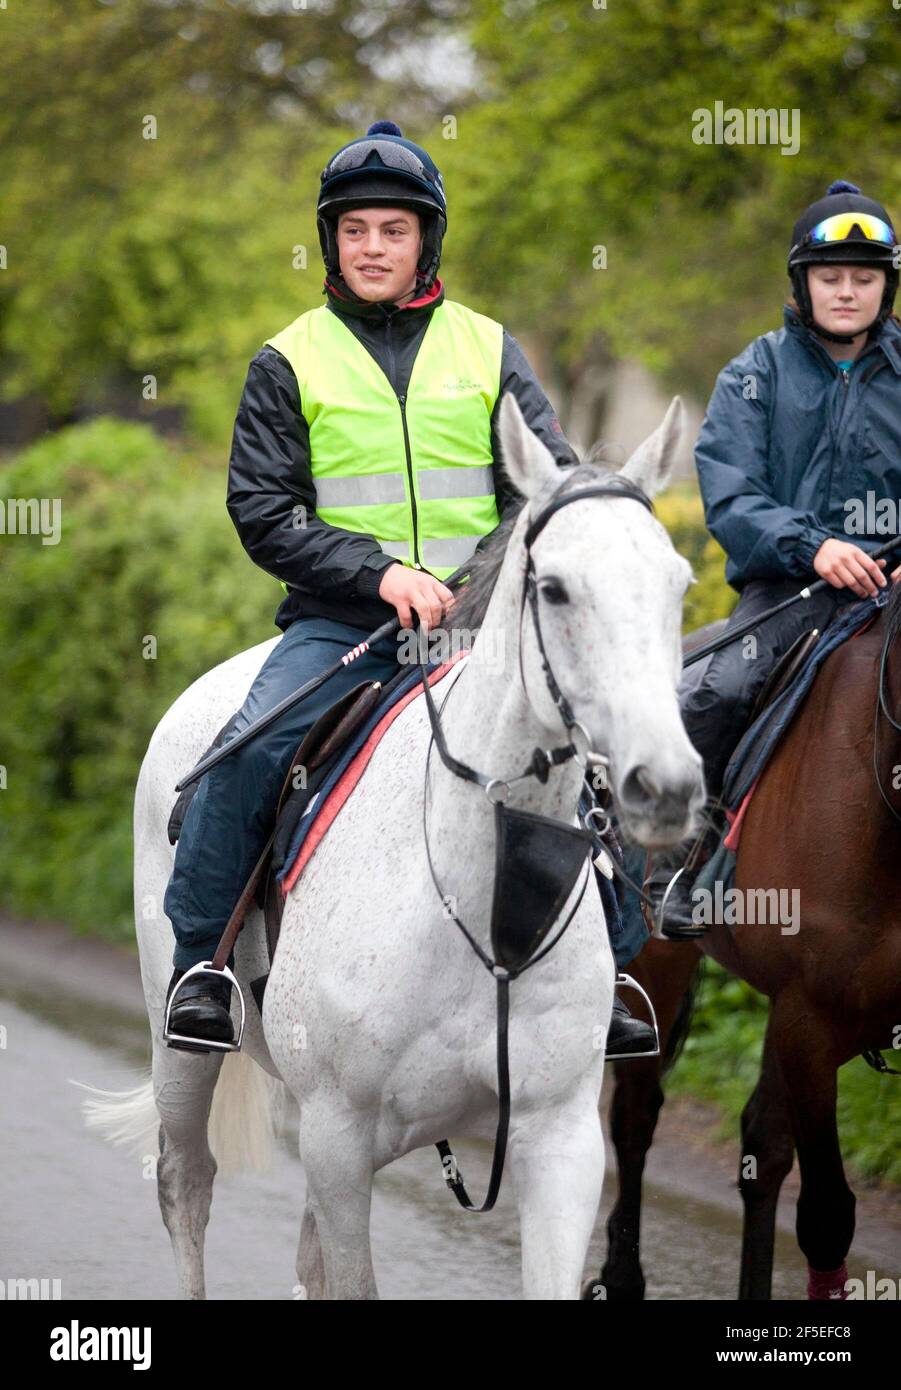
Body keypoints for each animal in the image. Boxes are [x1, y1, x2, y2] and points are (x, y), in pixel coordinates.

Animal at [80, 394, 703, 1301]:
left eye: (677, 585)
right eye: (554, 588)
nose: (667, 784)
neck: (481, 907)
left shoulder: (558, 1142)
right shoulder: (338, 1134)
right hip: (185, 1059)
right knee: (184, 1183)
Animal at [595, 589, 895, 1301]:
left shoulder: (800, 1013)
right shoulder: (811, 1021)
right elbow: (826, 1215)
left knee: (761, 1147)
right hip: (661, 961)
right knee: (636, 1117)